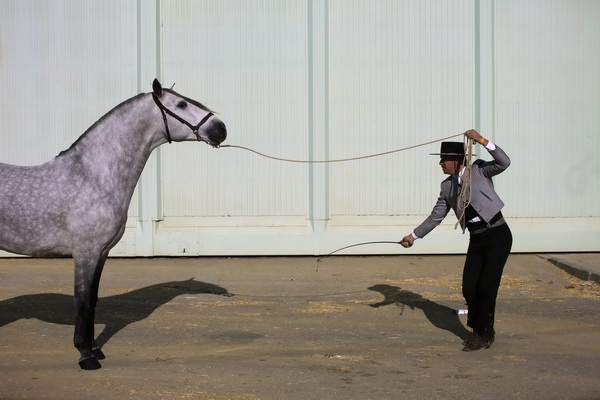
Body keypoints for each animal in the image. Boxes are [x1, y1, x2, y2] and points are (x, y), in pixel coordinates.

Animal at [0, 78, 227, 368]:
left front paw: (95, 349)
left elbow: (94, 301)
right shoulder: (85, 253)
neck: (93, 177)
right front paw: (85, 356)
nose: (221, 129)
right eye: (181, 104)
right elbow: (83, 302)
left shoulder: (102, 253)